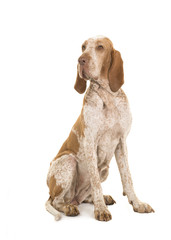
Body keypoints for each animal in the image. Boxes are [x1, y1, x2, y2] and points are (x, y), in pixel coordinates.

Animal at [45, 35, 154, 221]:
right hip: (68, 162)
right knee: (57, 201)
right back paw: (69, 207)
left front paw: (137, 203)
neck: (107, 96)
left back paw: (100, 198)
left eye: (100, 47)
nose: (81, 60)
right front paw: (101, 209)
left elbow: (127, 178)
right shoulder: (90, 143)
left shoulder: (121, 142)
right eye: (83, 47)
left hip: (105, 169)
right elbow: (95, 182)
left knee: (81, 198)